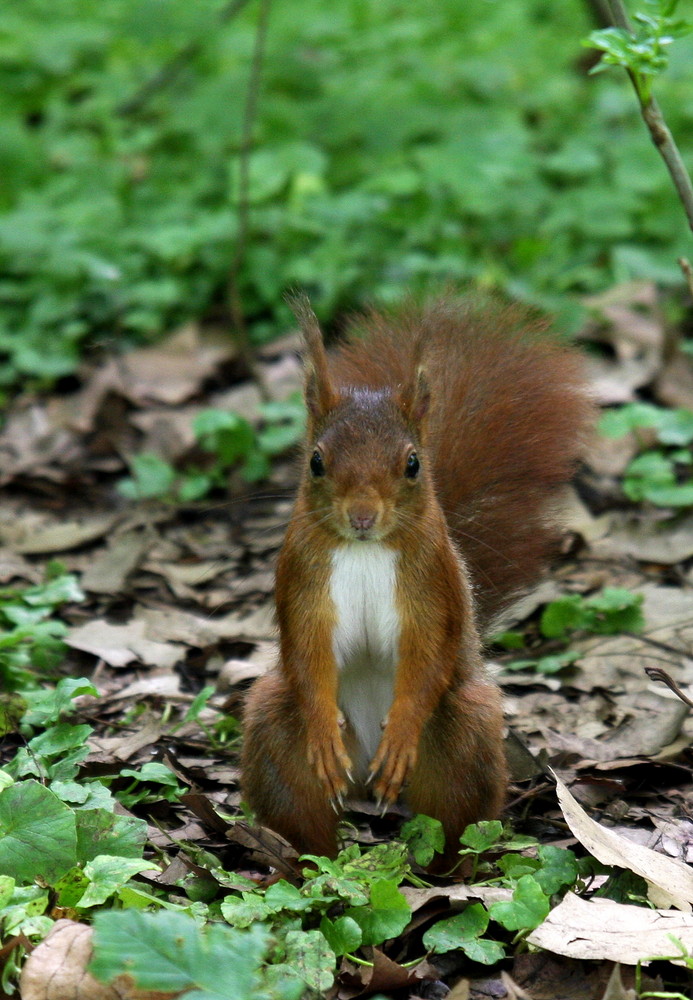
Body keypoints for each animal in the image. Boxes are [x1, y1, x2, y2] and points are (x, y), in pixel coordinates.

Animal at [241, 294, 592, 860]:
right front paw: (321, 730)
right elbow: (307, 652)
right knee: (305, 817)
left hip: (463, 732)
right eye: (316, 462)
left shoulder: (434, 583)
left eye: (412, 464)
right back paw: (301, 861)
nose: (362, 515)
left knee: (454, 824)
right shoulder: (301, 581)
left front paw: (403, 727)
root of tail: (364, 776)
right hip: (274, 724)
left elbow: (428, 654)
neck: (365, 550)